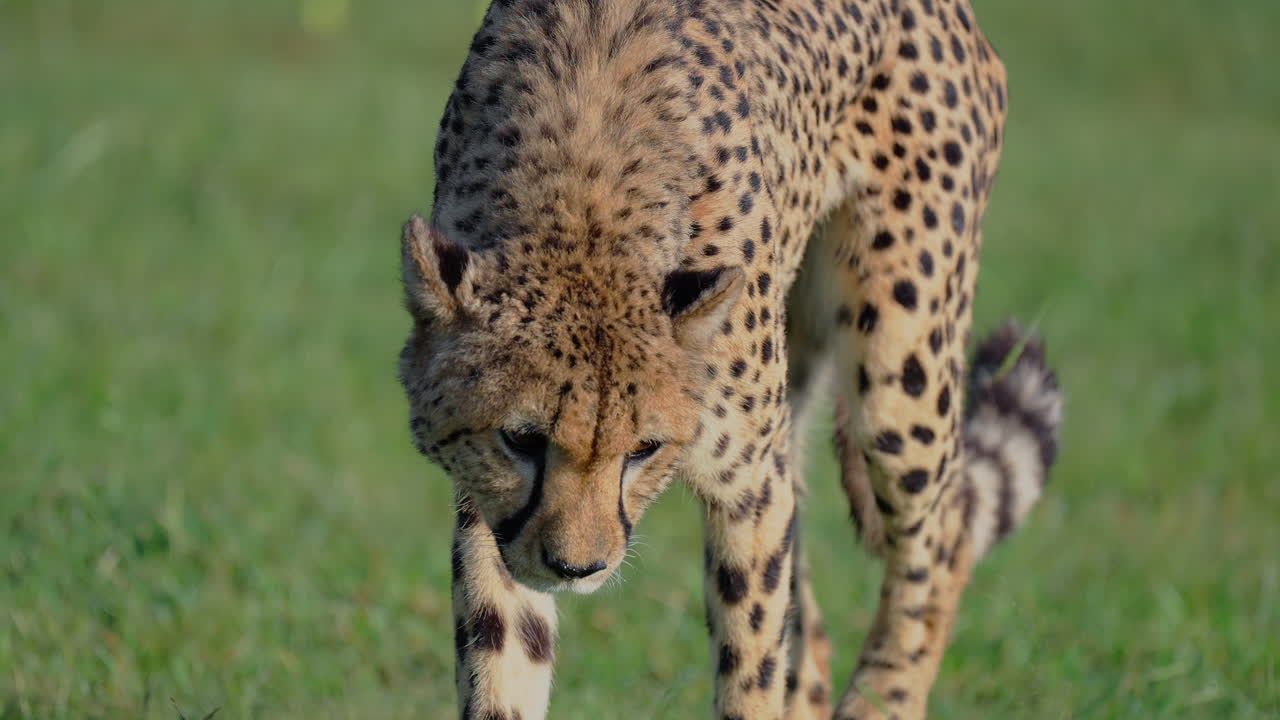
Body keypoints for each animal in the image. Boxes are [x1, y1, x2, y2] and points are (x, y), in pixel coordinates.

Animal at [396, 1, 1063, 718]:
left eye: (644, 449)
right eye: (521, 439)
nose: (578, 568)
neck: (586, 196)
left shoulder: (750, 482)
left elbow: (752, 658)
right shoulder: (492, 508)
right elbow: (503, 655)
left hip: (897, 368)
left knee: (942, 542)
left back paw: (883, 696)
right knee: (816, 634)